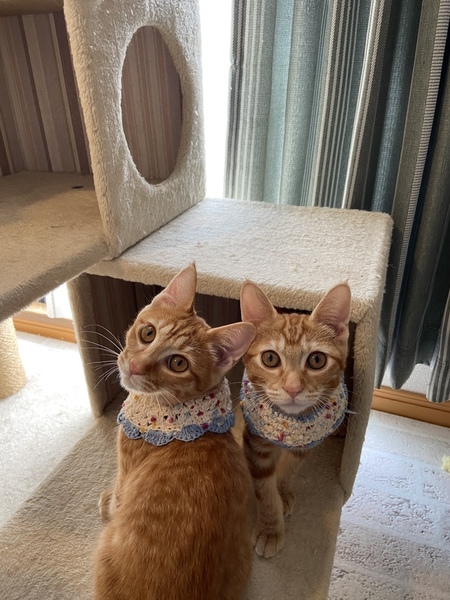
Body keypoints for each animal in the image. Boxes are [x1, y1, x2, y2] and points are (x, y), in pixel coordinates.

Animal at [94, 263, 256, 600]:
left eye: (178, 363)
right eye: (148, 333)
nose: (135, 366)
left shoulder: (126, 466)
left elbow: (118, 495)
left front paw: (108, 502)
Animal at [239, 280, 351, 558]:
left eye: (317, 360)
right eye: (270, 358)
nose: (292, 388)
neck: (289, 425)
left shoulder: (306, 440)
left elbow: (290, 467)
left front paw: (283, 491)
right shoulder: (254, 442)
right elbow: (263, 487)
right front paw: (270, 526)